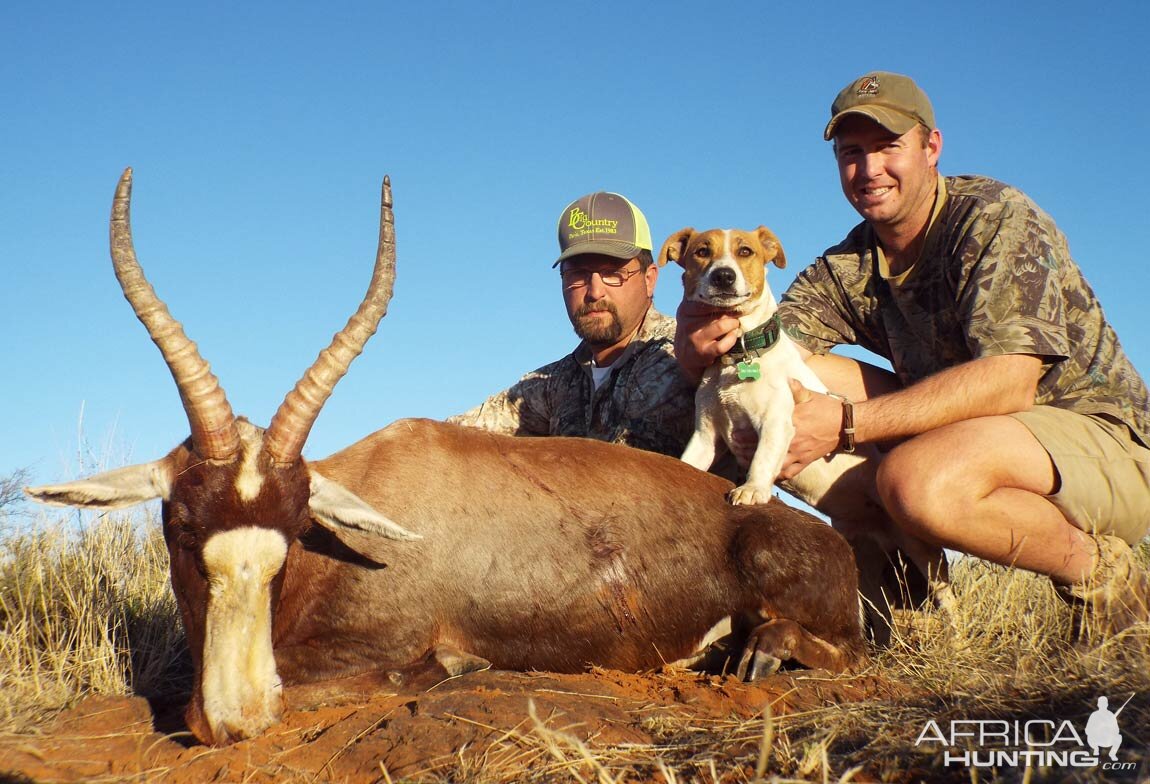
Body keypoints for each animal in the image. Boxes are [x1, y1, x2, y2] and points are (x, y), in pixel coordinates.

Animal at [662, 223, 956, 639]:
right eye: (702, 251)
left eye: (745, 251)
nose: (723, 276)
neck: (739, 355)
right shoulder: (706, 435)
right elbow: (688, 461)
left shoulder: (777, 421)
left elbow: (763, 459)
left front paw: (751, 490)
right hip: (865, 560)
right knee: (879, 611)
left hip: (922, 551)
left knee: (949, 601)